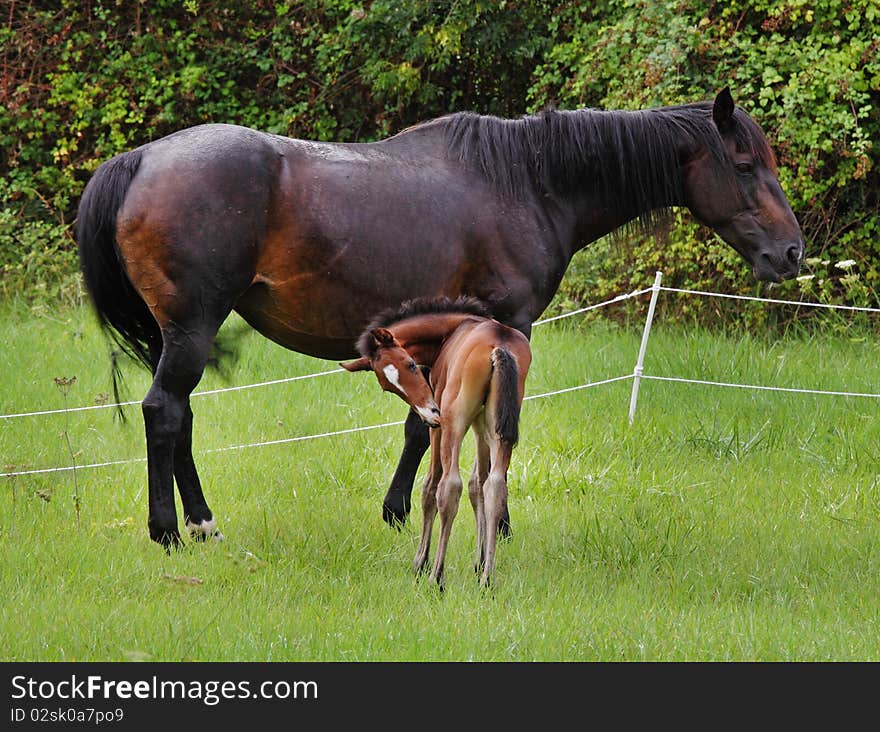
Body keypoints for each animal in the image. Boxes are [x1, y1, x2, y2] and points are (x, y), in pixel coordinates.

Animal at [75, 86, 804, 548]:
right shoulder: (508, 327)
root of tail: (139, 159)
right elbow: (491, 423)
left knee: (182, 417)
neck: (529, 181)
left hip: (180, 335)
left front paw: (401, 511)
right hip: (192, 328)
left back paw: (203, 524)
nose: (791, 252)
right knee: (165, 413)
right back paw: (171, 532)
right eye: (745, 165)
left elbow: (424, 422)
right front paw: (494, 523)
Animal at [338, 294, 528, 588]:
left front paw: (420, 562)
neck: (453, 329)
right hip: (499, 427)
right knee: (495, 486)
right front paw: (479, 563)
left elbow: (430, 487)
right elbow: (478, 485)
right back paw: (487, 580)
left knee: (448, 487)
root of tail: (499, 344)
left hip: (452, 421)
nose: (430, 414)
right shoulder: (481, 424)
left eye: (410, 364)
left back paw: (436, 577)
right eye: (387, 386)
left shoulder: (441, 426)